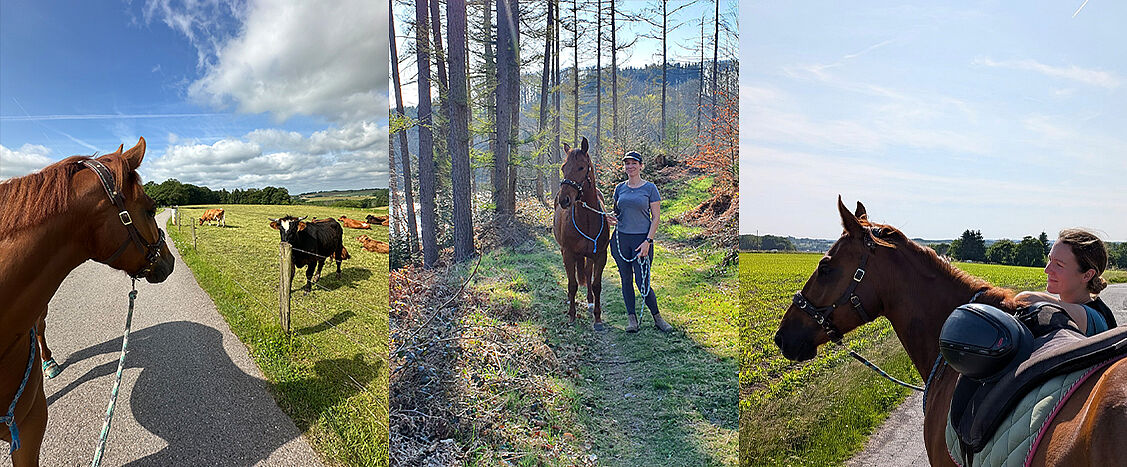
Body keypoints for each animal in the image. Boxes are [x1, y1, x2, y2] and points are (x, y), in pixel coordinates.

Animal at [552, 137, 610, 330]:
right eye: (563, 167)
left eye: (581, 167)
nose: (564, 199)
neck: (586, 219)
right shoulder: (568, 254)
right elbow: (572, 285)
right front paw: (571, 315)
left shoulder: (600, 255)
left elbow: (596, 284)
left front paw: (597, 318)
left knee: (588, 272)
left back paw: (590, 301)